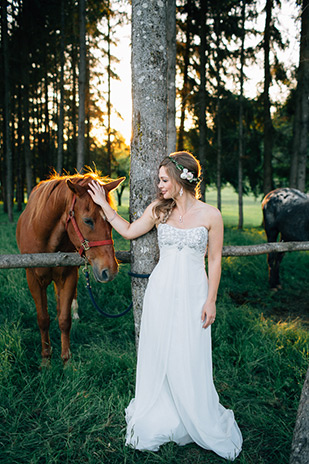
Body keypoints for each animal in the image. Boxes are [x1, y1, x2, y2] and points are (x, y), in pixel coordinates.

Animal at [15, 172, 124, 364]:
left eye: (111, 220)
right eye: (87, 221)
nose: (110, 271)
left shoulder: (68, 276)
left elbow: (64, 320)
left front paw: (66, 361)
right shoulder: (33, 280)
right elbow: (43, 319)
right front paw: (46, 360)